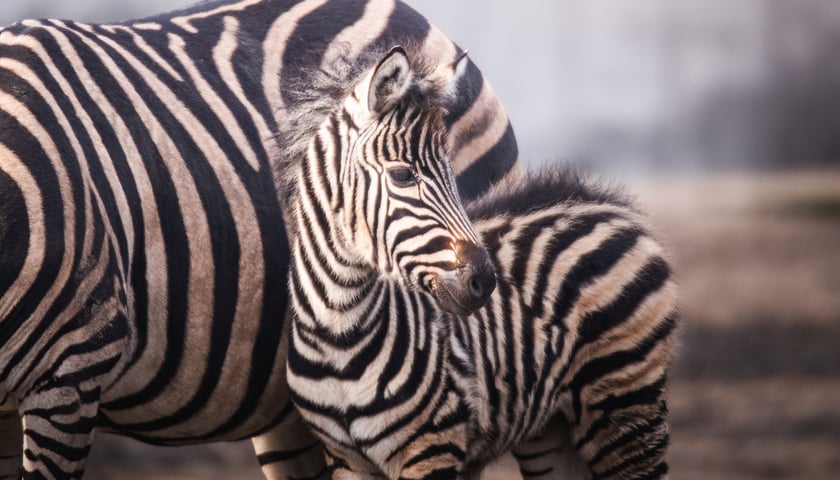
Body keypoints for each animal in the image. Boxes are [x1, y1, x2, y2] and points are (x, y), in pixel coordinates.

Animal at [286, 51, 680, 476]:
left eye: (453, 176)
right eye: (403, 175)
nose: (485, 280)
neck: (337, 336)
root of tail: (617, 208)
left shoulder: (432, 447)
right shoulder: (344, 459)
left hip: (626, 406)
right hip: (552, 430)